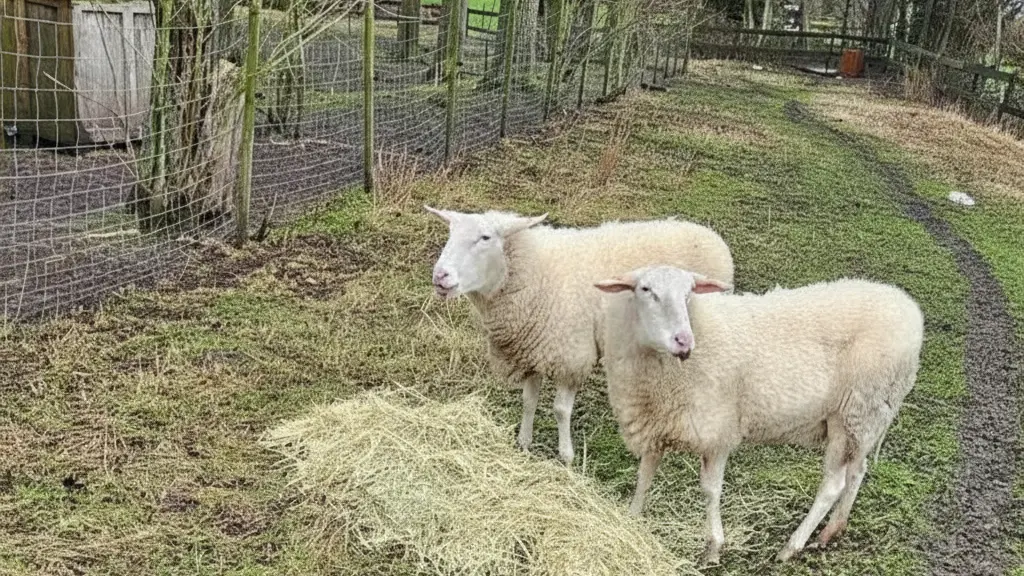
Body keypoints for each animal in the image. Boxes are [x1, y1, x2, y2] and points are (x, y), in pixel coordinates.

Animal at [424, 207, 734, 465]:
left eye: (485, 237)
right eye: (450, 233)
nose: (440, 276)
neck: (535, 274)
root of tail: (712, 237)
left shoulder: (570, 355)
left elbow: (561, 410)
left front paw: (566, 456)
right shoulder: (533, 349)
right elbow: (529, 401)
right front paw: (524, 443)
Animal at [595, 266, 924, 563]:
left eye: (689, 293)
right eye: (645, 290)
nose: (684, 340)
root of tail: (907, 308)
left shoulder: (718, 432)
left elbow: (710, 491)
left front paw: (714, 547)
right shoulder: (657, 426)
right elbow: (644, 478)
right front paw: (631, 518)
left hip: (853, 411)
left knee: (833, 485)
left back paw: (792, 546)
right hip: (866, 418)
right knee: (857, 470)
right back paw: (832, 530)